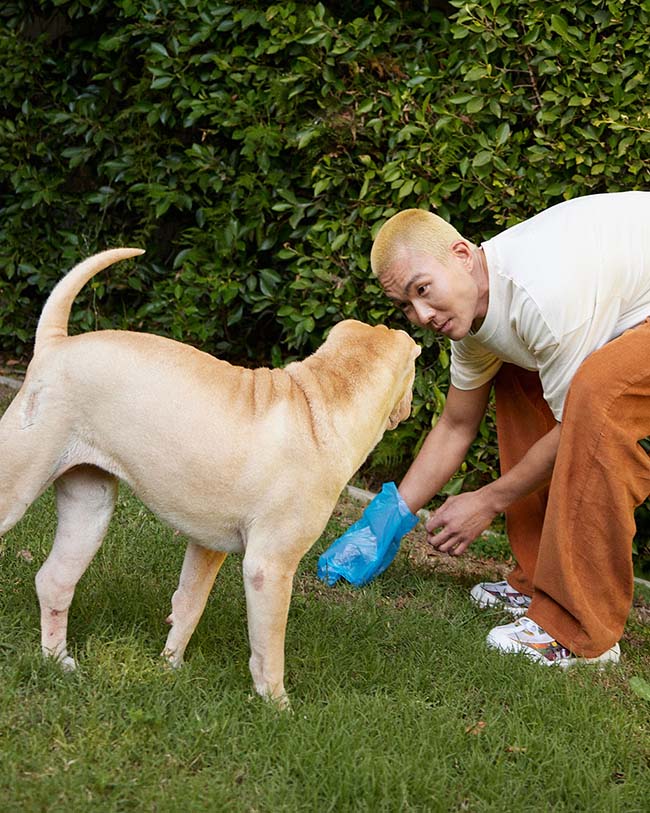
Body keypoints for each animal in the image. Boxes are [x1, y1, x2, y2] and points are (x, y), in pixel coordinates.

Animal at [0, 249, 420, 704]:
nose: (411, 407)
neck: (321, 399)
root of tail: (54, 343)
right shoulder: (269, 568)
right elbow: (268, 649)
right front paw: (278, 705)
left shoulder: (206, 547)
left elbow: (188, 605)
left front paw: (169, 668)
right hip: (17, 489)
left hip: (89, 509)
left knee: (54, 581)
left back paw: (59, 661)